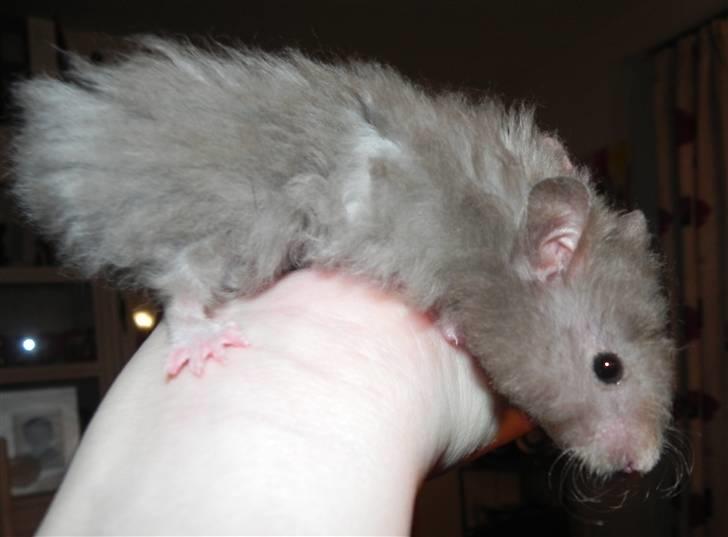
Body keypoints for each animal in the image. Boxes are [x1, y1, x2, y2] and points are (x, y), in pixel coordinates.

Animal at [9, 37, 675, 477]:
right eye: (608, 368)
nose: (643, 465)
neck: (492, 228)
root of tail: (65, 151)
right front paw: (454, 328)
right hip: (231, 219)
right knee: (183, 283)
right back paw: (205, 343)